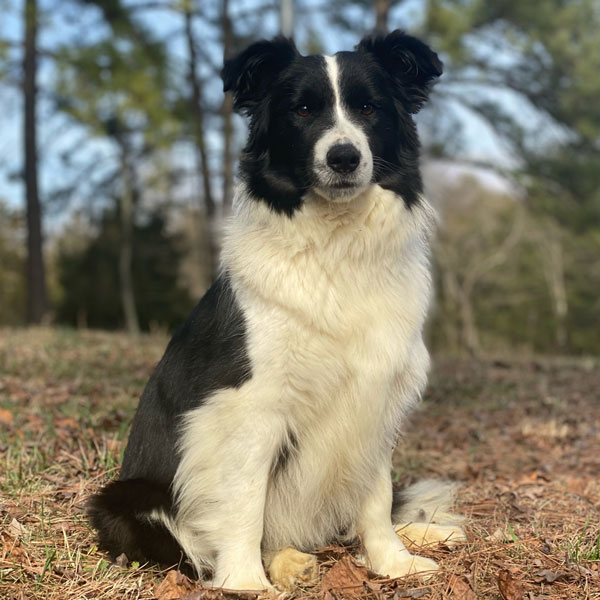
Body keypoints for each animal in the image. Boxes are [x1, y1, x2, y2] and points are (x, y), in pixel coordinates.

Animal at [89, 29, 466, 592]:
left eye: (368, 108)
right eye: (303, 109)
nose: (344, 157)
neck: (335, 248)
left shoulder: (376, 395)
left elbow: (375, 497)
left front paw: (392, 563)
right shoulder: (252, 406)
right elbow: (245, 501)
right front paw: (245, 583)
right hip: (127, 498)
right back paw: (283, 562)